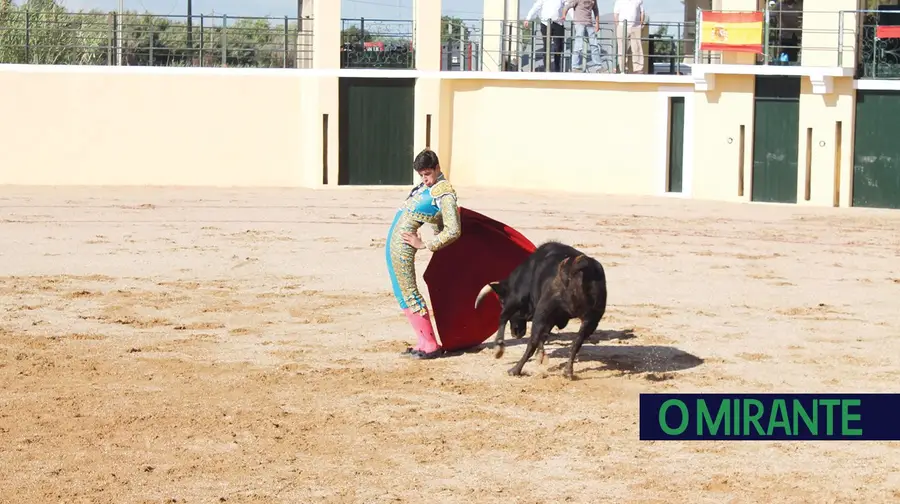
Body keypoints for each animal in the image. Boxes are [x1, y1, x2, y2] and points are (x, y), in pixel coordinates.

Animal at [474, 241, 608, 378]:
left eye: (501, 301)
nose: (515, 333)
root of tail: (577, 266)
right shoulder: (553, 316)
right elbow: (544, 334)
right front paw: (541, 356)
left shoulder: (516, 299)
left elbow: (504, 316)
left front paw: (499, 347)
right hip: (591, 318)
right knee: (577, 342)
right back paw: (567, 372)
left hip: (542, 310)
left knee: (532, 341)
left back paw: (515, 369)